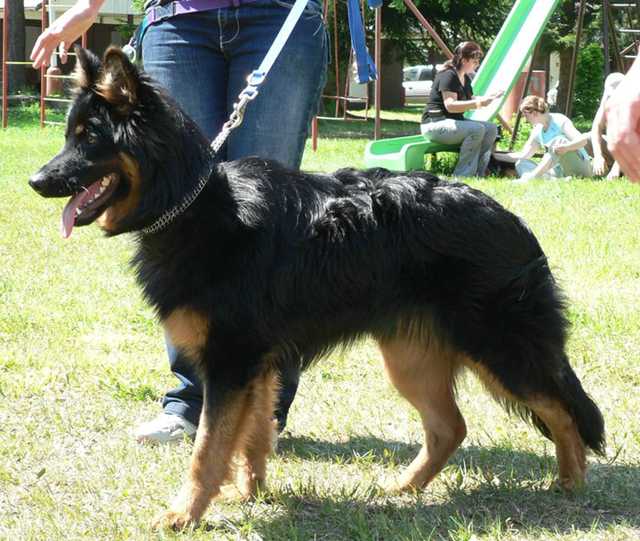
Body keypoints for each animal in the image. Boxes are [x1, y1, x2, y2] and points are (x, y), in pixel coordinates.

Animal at [30, 47, 605, 530]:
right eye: (68, 135)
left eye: (89, 138)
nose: (35, 182)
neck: (193, 204)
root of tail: (510, 219)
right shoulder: (258, 367)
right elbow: (253, 436)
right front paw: (251, 492)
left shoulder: (231, 363)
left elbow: (208, 448)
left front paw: (184, 513)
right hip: (411, 359)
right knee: (452, 427)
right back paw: (406, 487)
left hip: (500, 349)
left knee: (562, 411)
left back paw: (571, 483)